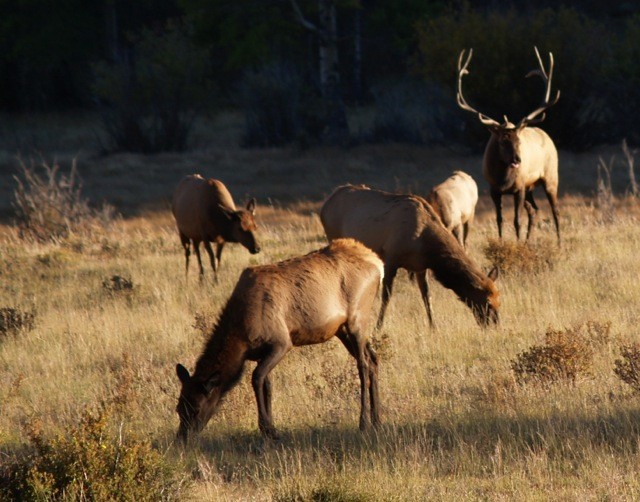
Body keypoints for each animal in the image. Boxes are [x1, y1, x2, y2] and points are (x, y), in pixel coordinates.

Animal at [175, 237, 382, 442]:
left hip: (357, 319)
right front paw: (272, 428)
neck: (241, 336)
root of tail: (378, 264)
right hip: (342, 329)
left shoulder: (281, 343)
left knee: (363, 364)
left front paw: (267, 429)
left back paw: (364, 423)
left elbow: (257, 378)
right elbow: (267, 384)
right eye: (178, 408)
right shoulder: (260, 352)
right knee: (373, 358)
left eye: (196, 409)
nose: (182, 439)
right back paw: (377, 420)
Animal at [320, 184, 500, 330]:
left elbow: (427, 296)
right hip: (332, 237)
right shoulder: (391, 259)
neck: (428, 248)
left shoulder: (420, 267)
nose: (495, 325)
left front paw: (433, 326)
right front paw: (378, 327)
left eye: (499, 299)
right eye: (488, 303)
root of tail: (325, 204)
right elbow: (386, 296)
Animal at [458, 47, 564, 243]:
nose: (517, 160)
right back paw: (528, 242)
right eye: (502, 141)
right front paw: (501, 243)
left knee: (555, 211)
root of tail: (548, 137)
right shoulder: (493, 189)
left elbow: (516, 221)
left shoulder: (519, 187)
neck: (503, 179)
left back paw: (559, 244)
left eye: (518, 141)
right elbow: (499, 220)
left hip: (551, 177)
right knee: (534, 210)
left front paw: (516, 243)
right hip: (530, 187)